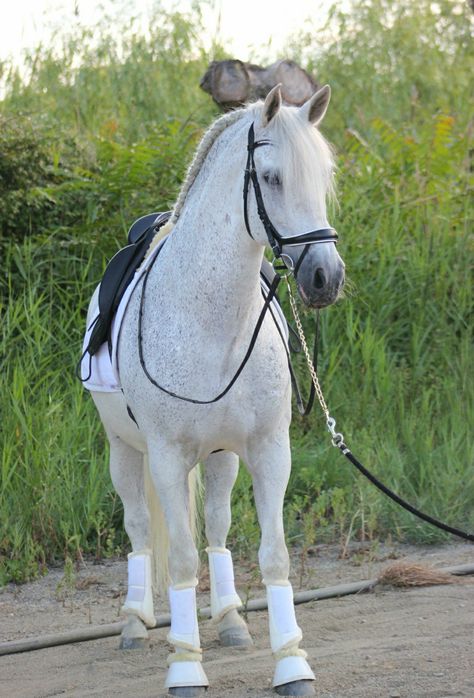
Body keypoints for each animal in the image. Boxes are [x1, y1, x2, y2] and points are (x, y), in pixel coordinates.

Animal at [84, 84, 344, 692]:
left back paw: (228, 619)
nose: (326, 278)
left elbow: (273, 554)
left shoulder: (270, 449)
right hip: (124, 452)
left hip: (223, 456)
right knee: (139, 527)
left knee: (219, 526)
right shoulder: (166, 456)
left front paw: (292, 663)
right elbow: (179, 558)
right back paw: (135, 623)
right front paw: (184, 666)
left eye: (323, 176)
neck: (210, 322)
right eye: (271, 177)